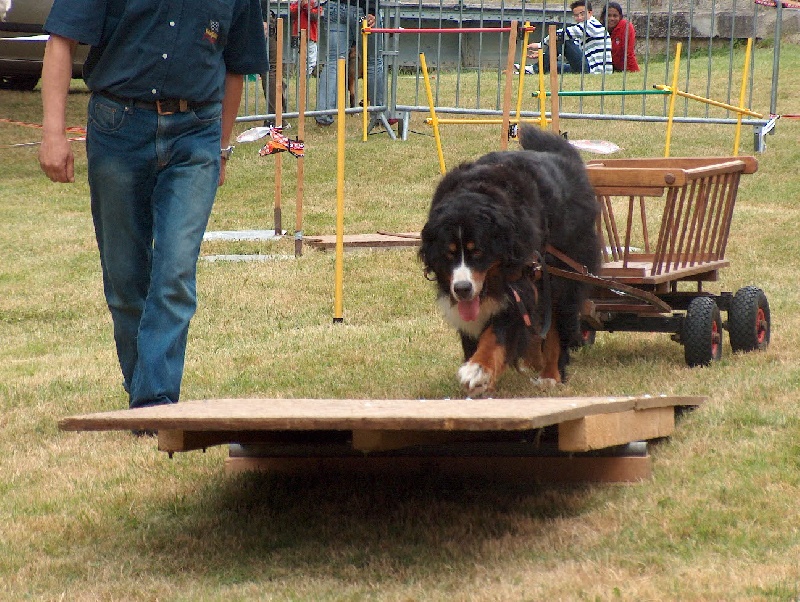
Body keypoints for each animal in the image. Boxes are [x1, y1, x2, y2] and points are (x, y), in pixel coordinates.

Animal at [418, 125, 600, 396]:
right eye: (448, 254)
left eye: (478, 252)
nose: (462, 289)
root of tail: (564, 157)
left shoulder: (521, 284)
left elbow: (497, 333)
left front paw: (478, 370)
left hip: (563, 275)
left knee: (557, 326)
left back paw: (550, 374)